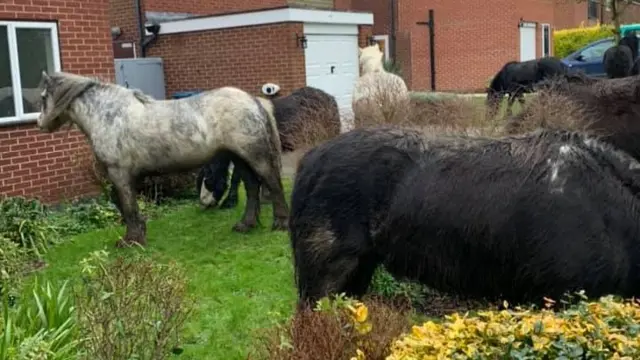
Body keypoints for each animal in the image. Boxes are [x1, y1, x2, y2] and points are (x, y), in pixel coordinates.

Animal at [36, 70, 288, 248]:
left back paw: (280, 224)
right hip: (240, 158)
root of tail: (253, 101)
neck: (109, 114)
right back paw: (245, 225)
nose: (39, 123)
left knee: (273, 185)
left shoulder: (119, 173)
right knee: (253, 189)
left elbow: (127, 207)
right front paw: (138, 235)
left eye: (43, 97)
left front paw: (131, 241)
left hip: (255, 156)